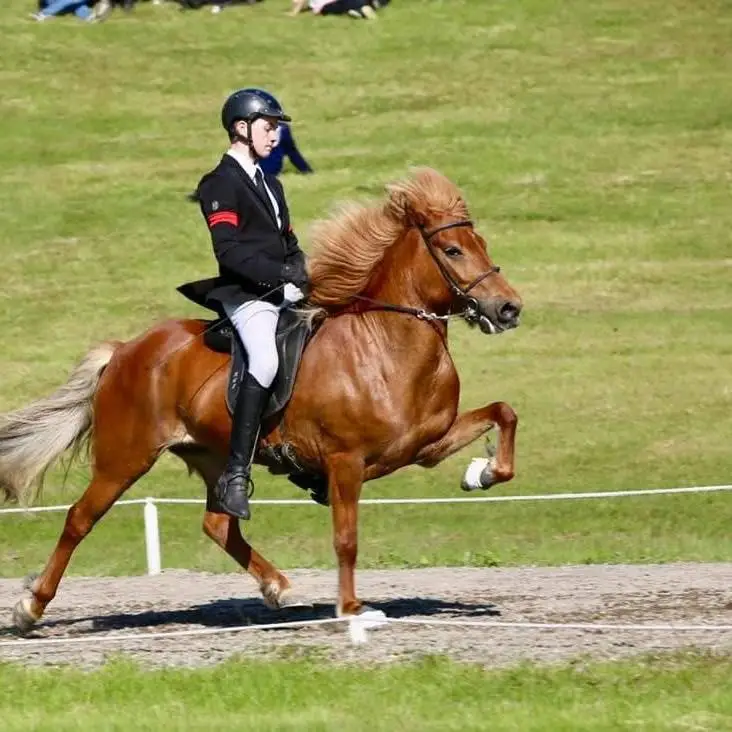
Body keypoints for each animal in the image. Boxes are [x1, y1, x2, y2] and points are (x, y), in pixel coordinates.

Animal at [2, 164, 524, 628]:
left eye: (482, 245)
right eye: (453, 250)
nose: (509, 308)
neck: (385, 345)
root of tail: (126, 350)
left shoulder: (425, 445)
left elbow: (504, 412)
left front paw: (482, 473)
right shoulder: (345, 462)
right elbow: (346, 538)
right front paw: (352, 610)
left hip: (214, 454)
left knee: (219, 525)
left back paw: (279, 587)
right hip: (125, 458)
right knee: (79, 519)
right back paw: (30, 609)